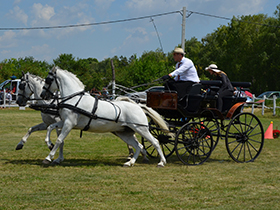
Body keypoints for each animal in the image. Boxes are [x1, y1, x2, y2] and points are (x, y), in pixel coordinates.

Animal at [40, 66, 170, 167]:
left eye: (48, 80)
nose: (42, 95)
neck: (74, 98)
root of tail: (138, 105)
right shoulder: (65, 122)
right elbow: (50, 127)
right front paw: (49, 144)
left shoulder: (69, 123)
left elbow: (59, 139)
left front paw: (48, 158)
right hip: (124, 133)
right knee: (138, 145)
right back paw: (130, 162)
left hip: (141, 129)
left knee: (155, 142)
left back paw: (161, 162)